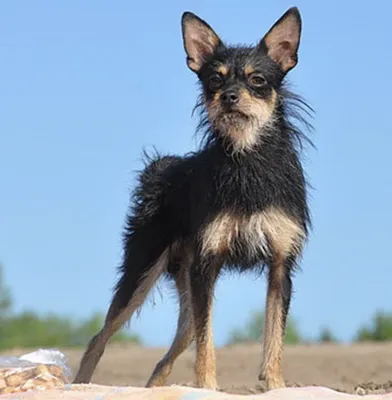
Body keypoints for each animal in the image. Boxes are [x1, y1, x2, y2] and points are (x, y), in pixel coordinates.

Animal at [72, 7, 312, 390]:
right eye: (215, 79)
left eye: (258, 80)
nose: (229, 96)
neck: (247, 161)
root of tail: (162, 167)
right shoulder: (207, 266)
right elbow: (207, 342)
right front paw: (208, 388)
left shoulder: (280, 266)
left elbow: (274, 338)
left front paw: (276, 387)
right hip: (143, 269)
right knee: (101, 336)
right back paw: (80, 385)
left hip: (184, 283)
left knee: (175, 346)